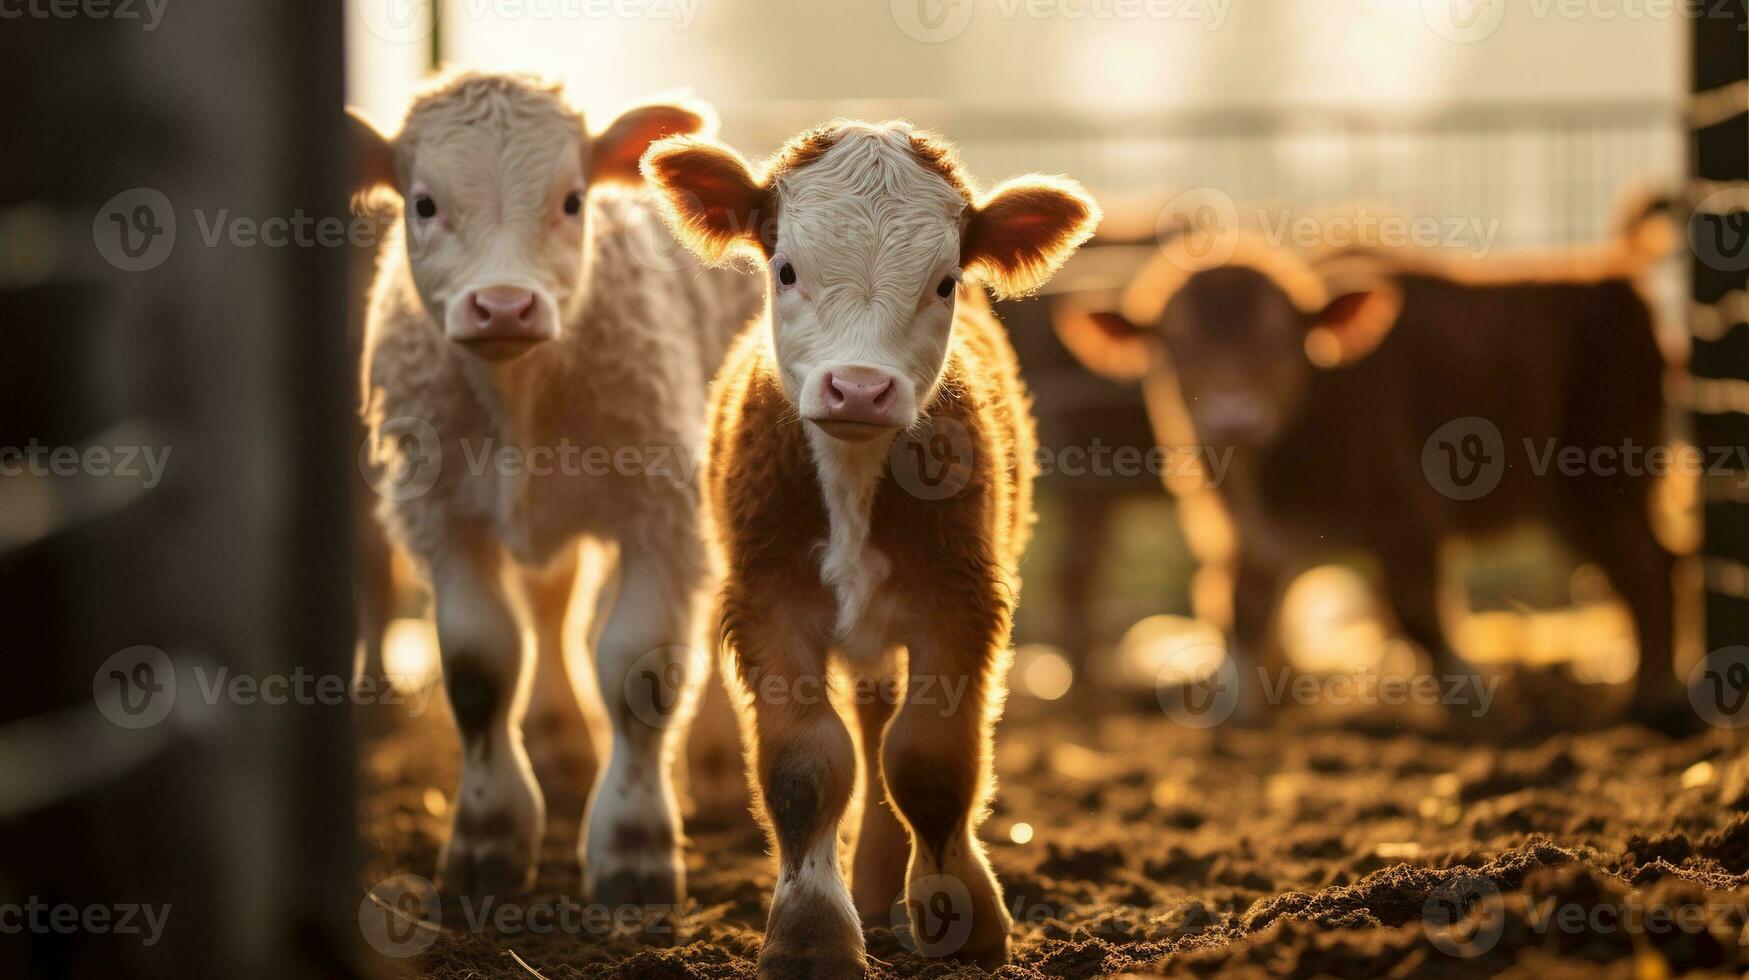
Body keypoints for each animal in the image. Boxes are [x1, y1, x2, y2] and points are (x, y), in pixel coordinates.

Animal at [351, 74, 762, 910]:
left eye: (573, 201)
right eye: (423, 203)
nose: (504, 305)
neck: (517, 392)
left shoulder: (661, 512)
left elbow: (641, 669)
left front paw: (634, 847)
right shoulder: (443, 519)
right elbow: (478, 667)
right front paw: (487, 839)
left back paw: (709, 768)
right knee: (549, 602)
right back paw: (560, 743)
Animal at [650, 120, 1098, 973]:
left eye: (945, 283)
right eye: (786, 269)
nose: (858, 387)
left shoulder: (960, 600)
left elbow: (927, 761)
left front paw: (960, 917)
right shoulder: (767, 602)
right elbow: (805, 767)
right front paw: (811, 933)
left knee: (886, 732)